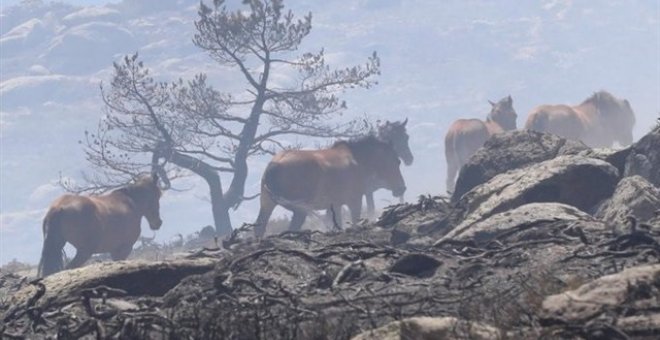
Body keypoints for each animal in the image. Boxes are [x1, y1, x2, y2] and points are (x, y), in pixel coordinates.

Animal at [254, 135, 404, 236]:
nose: (402, 187)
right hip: (299, 209)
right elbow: (354, 222)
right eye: (397, 161)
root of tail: (274, 165)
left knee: (260, 228)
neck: (358, 161)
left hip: (267, 204)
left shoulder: (335, 205)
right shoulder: (354, 200)